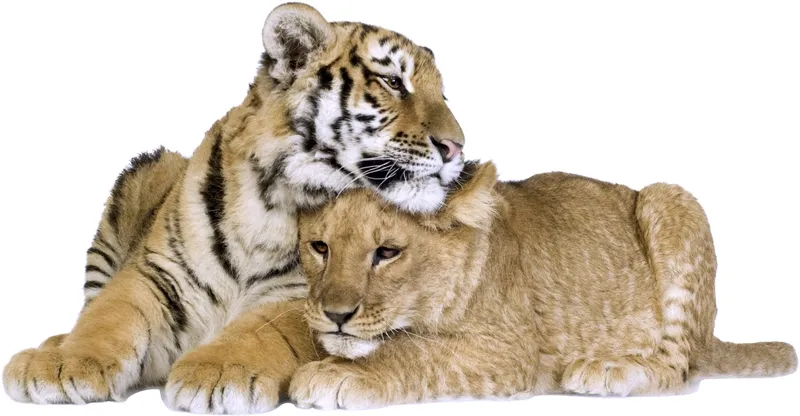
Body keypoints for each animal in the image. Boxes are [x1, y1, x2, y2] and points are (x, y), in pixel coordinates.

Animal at [3, 3, 465, 413]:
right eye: (392, 82)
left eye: (443, 94)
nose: (456, 146)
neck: (272, 200)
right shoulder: (156, 271)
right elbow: (110, 313)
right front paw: (61, 365)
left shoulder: (305, 294)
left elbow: (263, 327)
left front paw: (218, 373)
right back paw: (51, 345)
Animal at [285, 161, 794, 409]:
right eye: (320, 247)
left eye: (387, 253)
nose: (335, 315)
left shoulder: (511, 350)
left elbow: (413, 350)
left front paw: (339, 373)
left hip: (670, 198)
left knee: (678, 368)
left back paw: (607, 369)